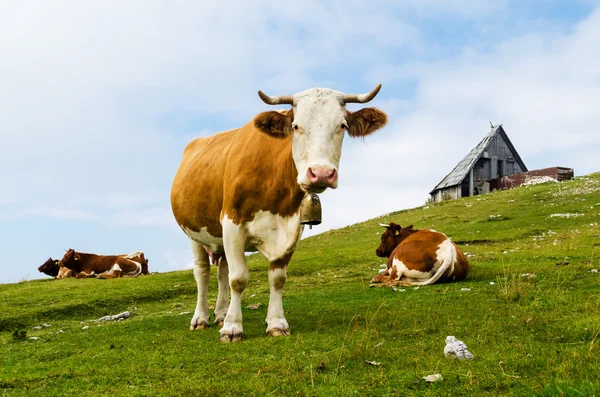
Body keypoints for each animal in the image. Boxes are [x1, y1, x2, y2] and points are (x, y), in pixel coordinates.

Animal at [172, 83, 390, 340]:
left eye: (342, 126)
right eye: (296, 126)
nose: (321, 173)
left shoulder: (292, 228)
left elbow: (277, 279)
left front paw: (276, 323)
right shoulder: (232, 223)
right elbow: (238, 278)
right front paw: (233, 327)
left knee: (222, 271)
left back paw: (221, 314)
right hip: (194, 232)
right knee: (203, 273)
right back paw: (201, 318)